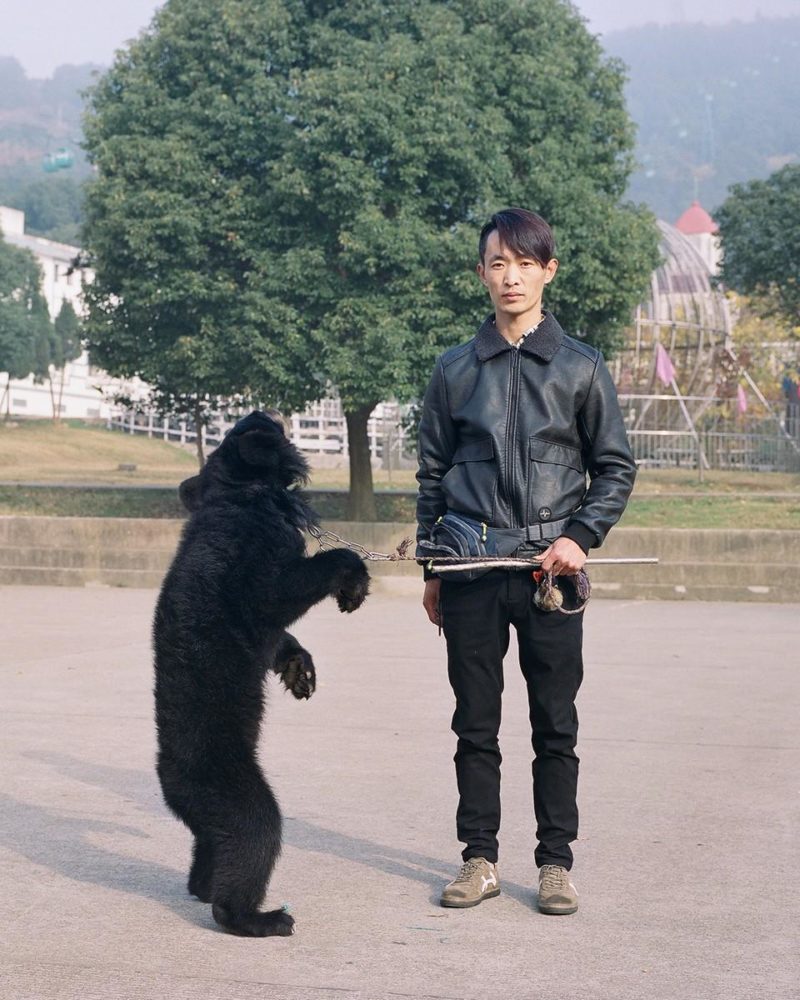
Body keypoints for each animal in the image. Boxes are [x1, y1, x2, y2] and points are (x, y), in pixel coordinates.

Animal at [153, 408, 372, 936]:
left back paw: (203, 886)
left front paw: (300, 671)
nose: (265, 411)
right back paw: (260, 918)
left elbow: (279, 636)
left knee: (214, 847)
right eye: (250, 424)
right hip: (234, 793)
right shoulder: (250, 561)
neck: (243, 496)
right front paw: (352, 583)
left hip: (212, 814)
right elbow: (281, 591)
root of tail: (170, 784)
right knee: (255, 836)